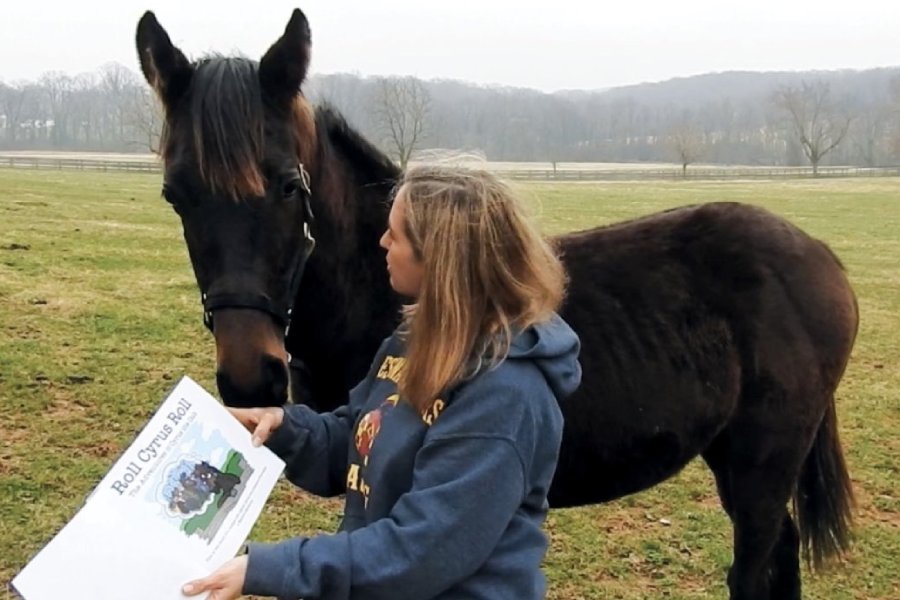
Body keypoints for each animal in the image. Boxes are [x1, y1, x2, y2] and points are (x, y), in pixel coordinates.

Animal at [135, 10, 856, 600]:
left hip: (765, 459)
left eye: (289, 187)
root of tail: (820, 254)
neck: (380, 293)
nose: (250, 378)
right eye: (175, 195)